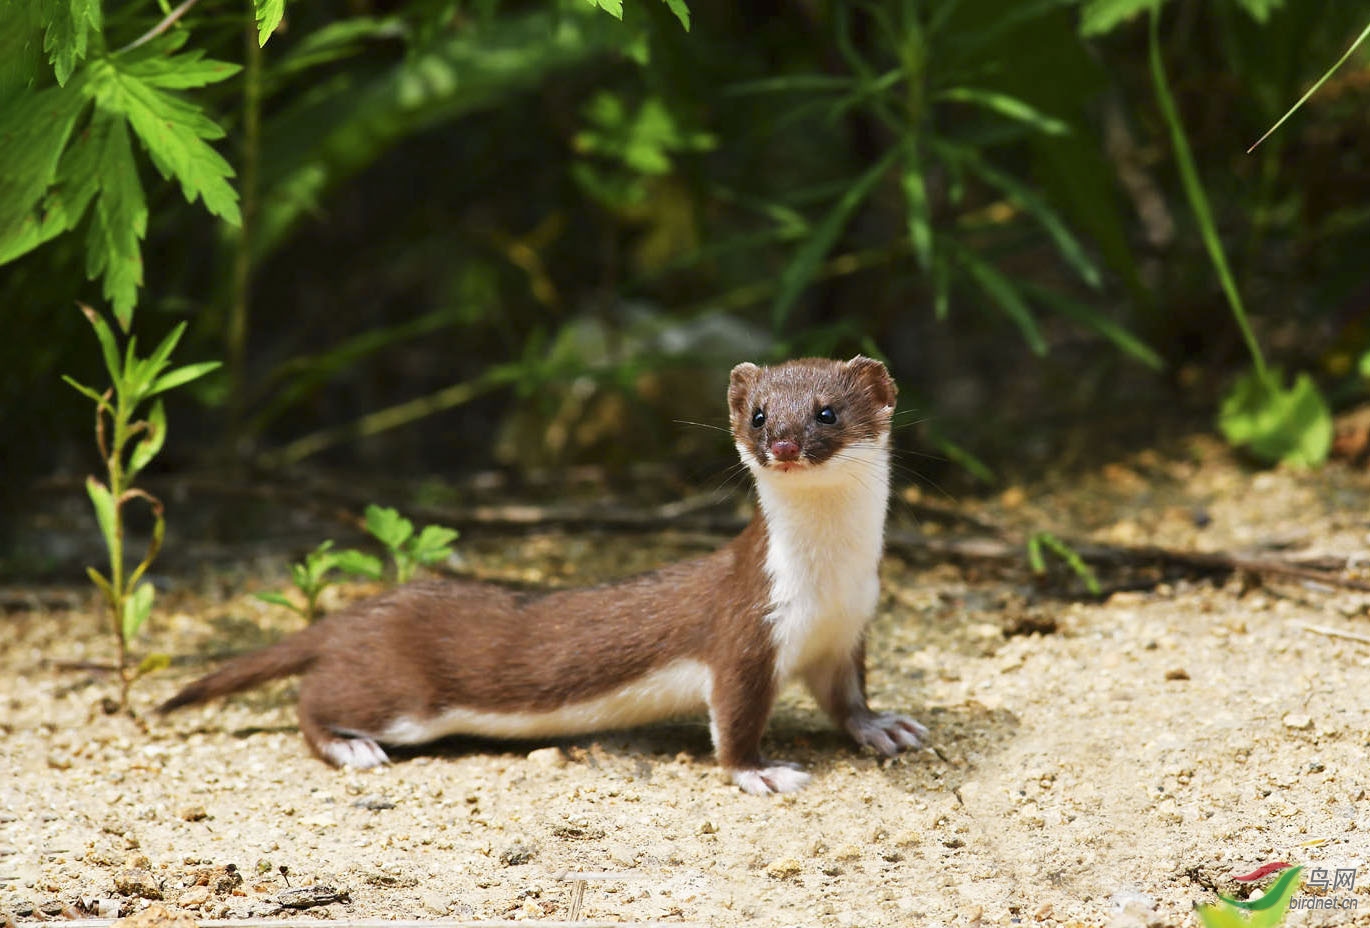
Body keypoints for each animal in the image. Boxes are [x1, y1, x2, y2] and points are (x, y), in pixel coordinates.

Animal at [163, 359, 931, 795]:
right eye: (758, 413)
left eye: (828, 411)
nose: (783, 444)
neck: (828, 581)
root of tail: (368, 609)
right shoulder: (745, 634)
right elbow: (735, 723)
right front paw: (763, 771)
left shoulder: (848, 631)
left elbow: (848, 699)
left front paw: (885, 728)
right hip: (402, 697)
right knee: (315, 698)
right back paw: (351, 747)